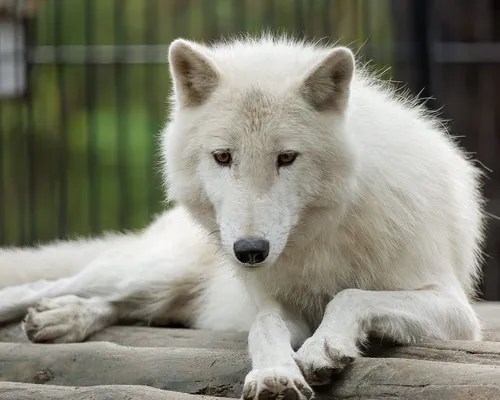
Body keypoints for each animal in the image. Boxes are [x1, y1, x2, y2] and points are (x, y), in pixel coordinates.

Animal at [0, 36, 486, 398]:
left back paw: (62, 319)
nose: (250, 251)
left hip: (163, 291)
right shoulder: (275, 303)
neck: (323, 236)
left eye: (286, 157)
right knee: (49, 286)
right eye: (223, 156)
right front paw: (274, 375)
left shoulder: (457, 311)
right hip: (149, 271)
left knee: (120, 306)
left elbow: (350, 295)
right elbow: (263, 326)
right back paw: (56, 313)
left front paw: (325, 345)